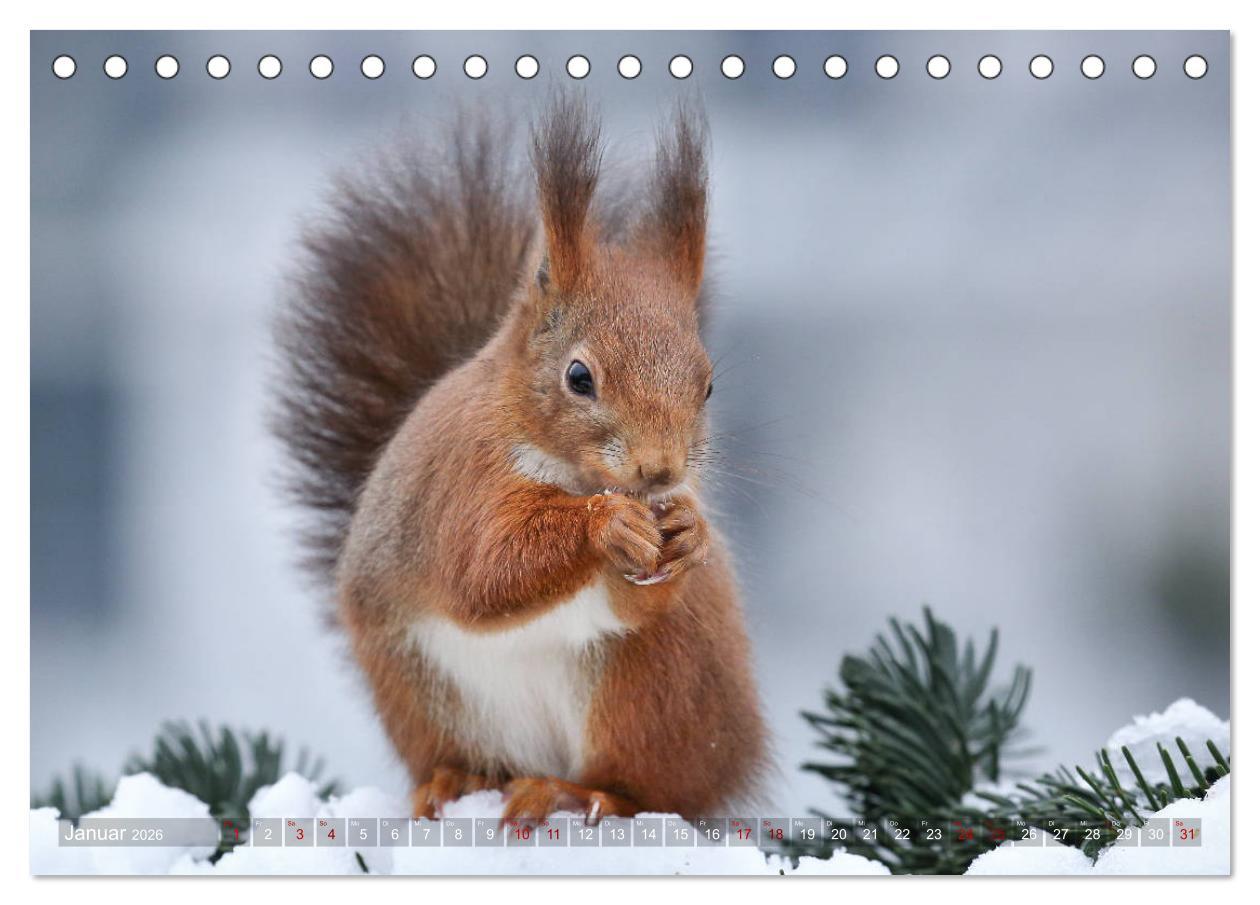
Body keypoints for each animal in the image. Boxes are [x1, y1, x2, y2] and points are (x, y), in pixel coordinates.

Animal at [275, 96, 767, 823]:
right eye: (578, 377)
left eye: (707, 385)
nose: (660, 471)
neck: (573, 475)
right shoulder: (461, 481)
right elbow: (485, 567)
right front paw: (607, 525)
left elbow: (632, 603)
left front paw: (689, 532)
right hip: (425, 692)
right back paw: (461, 781)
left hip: (649, 686)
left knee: (650, 789)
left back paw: (577, 791)